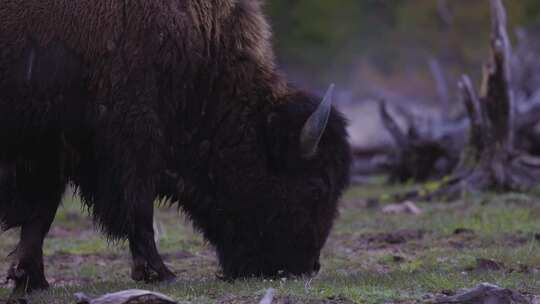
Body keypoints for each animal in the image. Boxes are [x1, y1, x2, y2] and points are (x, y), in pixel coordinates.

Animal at [0, 0, 350, 294]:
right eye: (317, 187)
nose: (306, 267)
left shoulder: (50, 150)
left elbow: (41, 215)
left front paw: (30, 279)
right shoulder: (131, 140)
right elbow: (138, 207)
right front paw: (161, 273)